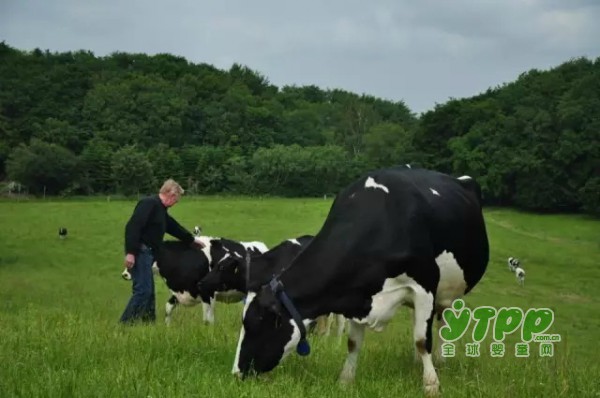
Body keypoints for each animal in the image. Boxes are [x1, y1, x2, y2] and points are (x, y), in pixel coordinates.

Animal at [232, 166, 490, 396]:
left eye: (254, 324)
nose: (236, 373)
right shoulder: (355, 296)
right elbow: (353, 343)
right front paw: (345, 381)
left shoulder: (424, 285)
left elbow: (421, 339)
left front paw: (431, 385)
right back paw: (417, 362)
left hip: (447, 291)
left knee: (440, 322)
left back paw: (439, 361)